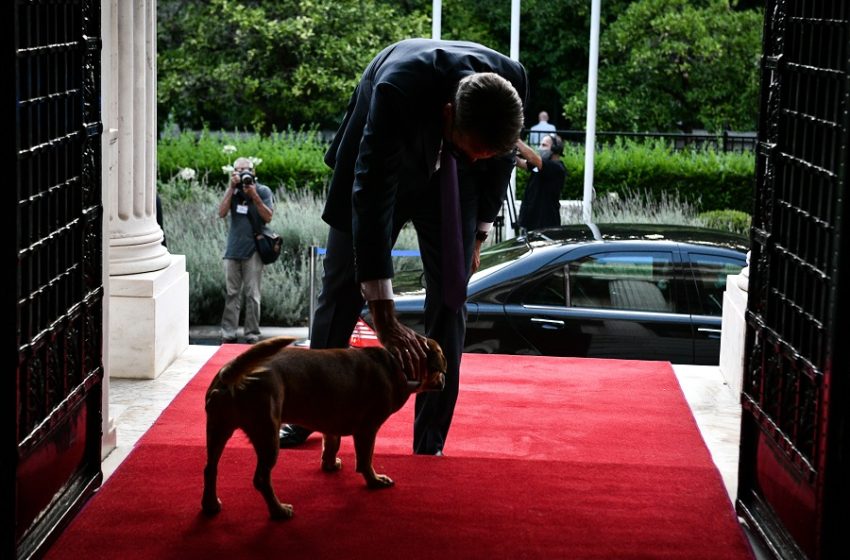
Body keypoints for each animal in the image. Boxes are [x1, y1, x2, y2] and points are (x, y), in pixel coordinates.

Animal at [201, 332, 448, 520]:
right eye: (441, 360)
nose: (447, 375)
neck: (397, 365)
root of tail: (232, 375)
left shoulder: (331, 423)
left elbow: (331, 444)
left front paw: (330, 465)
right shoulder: (368, 430)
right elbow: (365, 460)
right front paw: (375, 480)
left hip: (217, 430)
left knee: (210, 469)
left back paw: (210, 505)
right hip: (267, 435)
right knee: (261, 479)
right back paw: (279, 511)